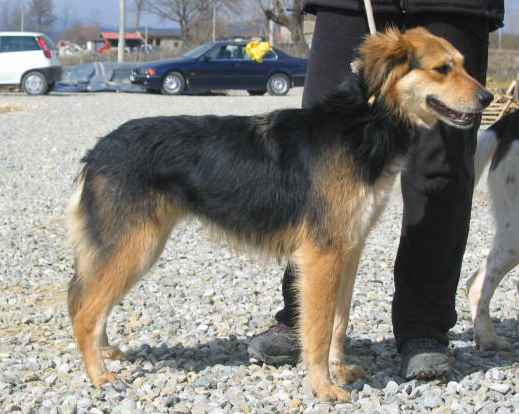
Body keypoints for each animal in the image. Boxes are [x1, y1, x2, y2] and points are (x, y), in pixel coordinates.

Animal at [67, 27, 492, 402]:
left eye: (464, 64)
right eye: (442, 69)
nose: (487, 97)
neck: (367, 122)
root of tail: (98, 151)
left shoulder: (349, 249)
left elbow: (339, 322)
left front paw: (339, 370)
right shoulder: (322, 255)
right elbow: (318, 328)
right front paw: (322, 386)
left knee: (89, 302)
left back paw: (106, 353)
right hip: (136, 247)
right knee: (85, 311)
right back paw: (100, 376)